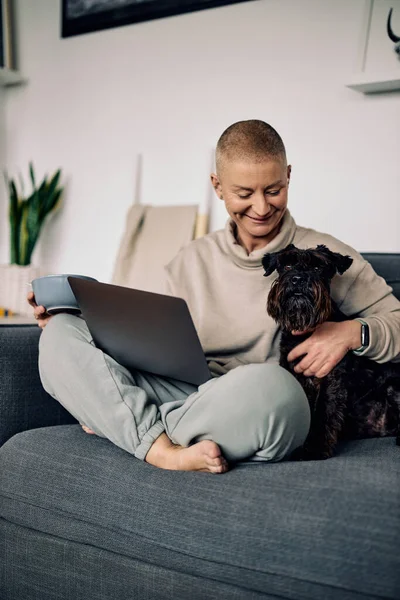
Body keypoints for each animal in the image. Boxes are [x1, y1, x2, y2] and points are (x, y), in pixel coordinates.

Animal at [262, 244, 400, 460]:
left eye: (318, 267)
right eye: (287, 265)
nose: (298, 279)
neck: (306, 331)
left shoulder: (330, 376)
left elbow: (323, 412)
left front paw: (313, 449)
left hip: (393, 386)